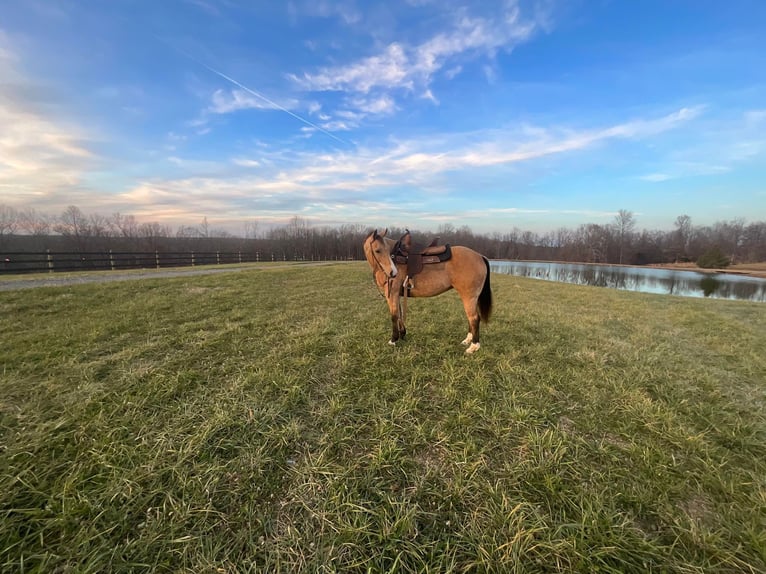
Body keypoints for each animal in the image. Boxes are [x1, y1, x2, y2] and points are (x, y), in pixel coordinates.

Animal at [364, 230, 496, 356]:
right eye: (378, 250)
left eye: (385, 250)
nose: (393, 273)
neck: (396, 258)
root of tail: (480, 256)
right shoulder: (396, 295)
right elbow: (400, 315)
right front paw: (402, 334)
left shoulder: (392, 293)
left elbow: (394, 316)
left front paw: (393, 340)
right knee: (471, 318)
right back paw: (468, 340)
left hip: (469, 297)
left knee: (474, 318)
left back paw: (473, 346)